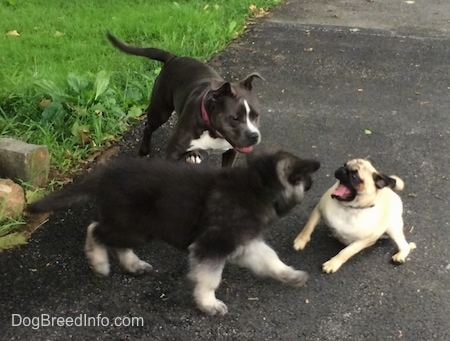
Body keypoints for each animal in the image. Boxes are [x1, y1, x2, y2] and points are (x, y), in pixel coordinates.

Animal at [27, 150, 320, 314]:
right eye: (305, 181)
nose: (313, 184)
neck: (259, 186)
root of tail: (106, 173)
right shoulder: (212, 245)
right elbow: (210, 279)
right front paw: (207, 303)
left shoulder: (242, 242)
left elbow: (270, 258)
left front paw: (289, 274)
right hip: (135, 227)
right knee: (95, 229)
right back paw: (99, 263)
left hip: (135, 227)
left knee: (114, 240)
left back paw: (132, 265)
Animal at [108, 33, 264, 167]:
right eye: (235, 118)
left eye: (256, 116)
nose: (254, 136)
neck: (212, 131)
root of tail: (174, 58)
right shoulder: (173, 152)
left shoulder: (231, 152)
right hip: (161, 111)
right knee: (148, 126)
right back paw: (144, 151)